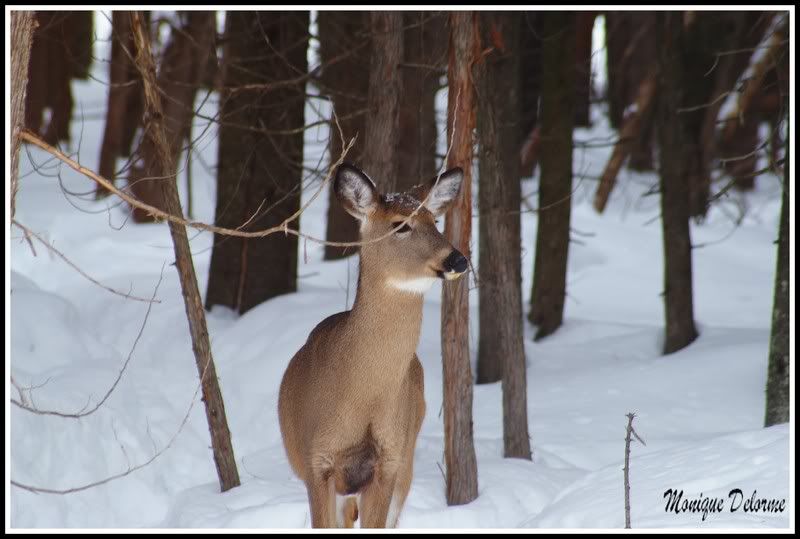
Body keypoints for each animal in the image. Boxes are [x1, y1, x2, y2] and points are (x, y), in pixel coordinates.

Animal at [280, 161, 468, 528]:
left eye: (435, 222)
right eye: (401, 225)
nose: (458, 260)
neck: (362, 397)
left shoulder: (389, 461)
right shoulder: (316, 461)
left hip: (407, 459)